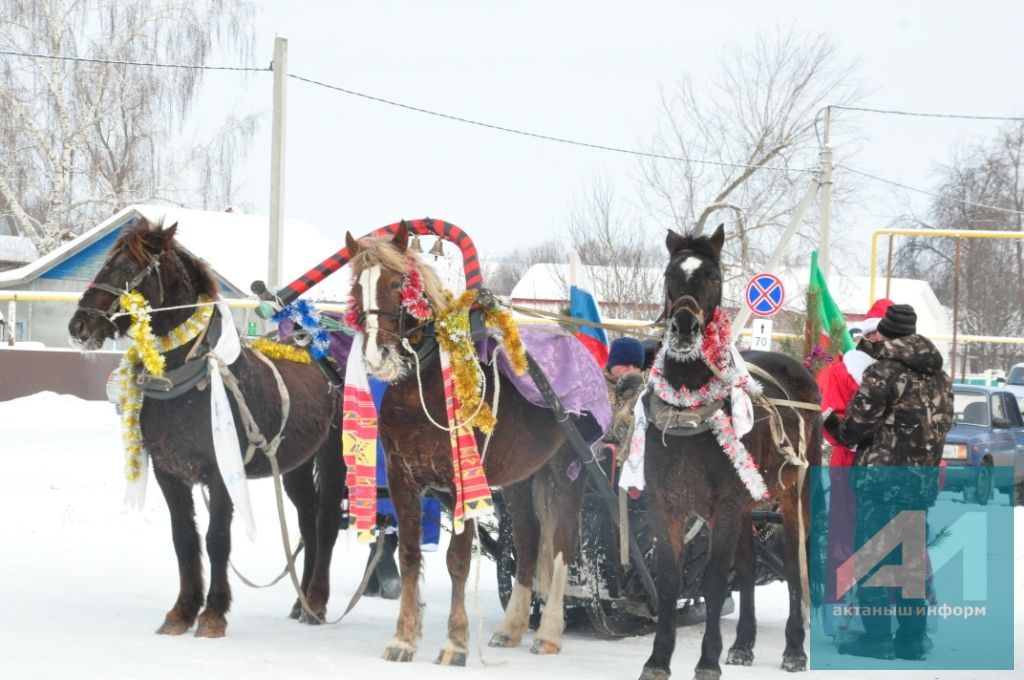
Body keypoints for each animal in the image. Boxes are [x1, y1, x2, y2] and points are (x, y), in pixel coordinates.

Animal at [70, 222, 348, 639]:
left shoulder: (222, 472)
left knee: (327, 520)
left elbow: (217, 540)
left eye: (128, 267)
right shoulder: (169, 472)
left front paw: (214, 613)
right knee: (308, 522)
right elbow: (184, 540)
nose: (79, 324)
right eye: (106, 262)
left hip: (333, 456)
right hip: (295, 464)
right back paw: (301, 603)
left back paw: (316, 600)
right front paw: (181, 612)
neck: (186, 379)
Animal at [344, 227, 602, 663]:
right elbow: (410, 555)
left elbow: (458, 561)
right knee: (529, 544)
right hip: (521, 479)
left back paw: (549, 632)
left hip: (570, 470)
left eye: (396, 284)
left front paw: (455, 642)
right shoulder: (401, 478)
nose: (377, 356)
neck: (422, 390)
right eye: (355, 288)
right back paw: (511, 627)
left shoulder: (459, 482)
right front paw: (404, 638)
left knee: (563, 544)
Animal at [638, 224, 823, 680]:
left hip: (794, 495)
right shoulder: (666, 504)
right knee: (749, 560)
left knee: (794, 563)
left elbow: (715, 580)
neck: (689, 414)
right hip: (744, 506)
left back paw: (795, 647)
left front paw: (706, 660)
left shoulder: (721, 506)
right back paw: (742, 644)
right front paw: (658, 659)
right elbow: (669, 579)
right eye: (670, 274)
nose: (684, 326)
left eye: (714, 276)